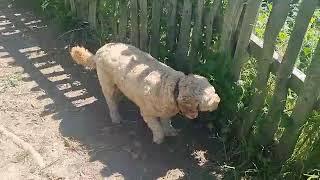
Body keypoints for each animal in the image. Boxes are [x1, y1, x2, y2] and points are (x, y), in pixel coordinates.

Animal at [70, 43, 220, 144]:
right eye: (207, 98)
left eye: (213, 90)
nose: (218, 101)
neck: (173, 87)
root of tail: (100, 50)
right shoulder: (147, 113)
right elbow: (157, 127)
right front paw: (159, 138)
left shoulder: (166, 112)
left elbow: (166, 122)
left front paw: (170, 131)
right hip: (107, 84)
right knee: (111, 102)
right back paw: (116, 117)